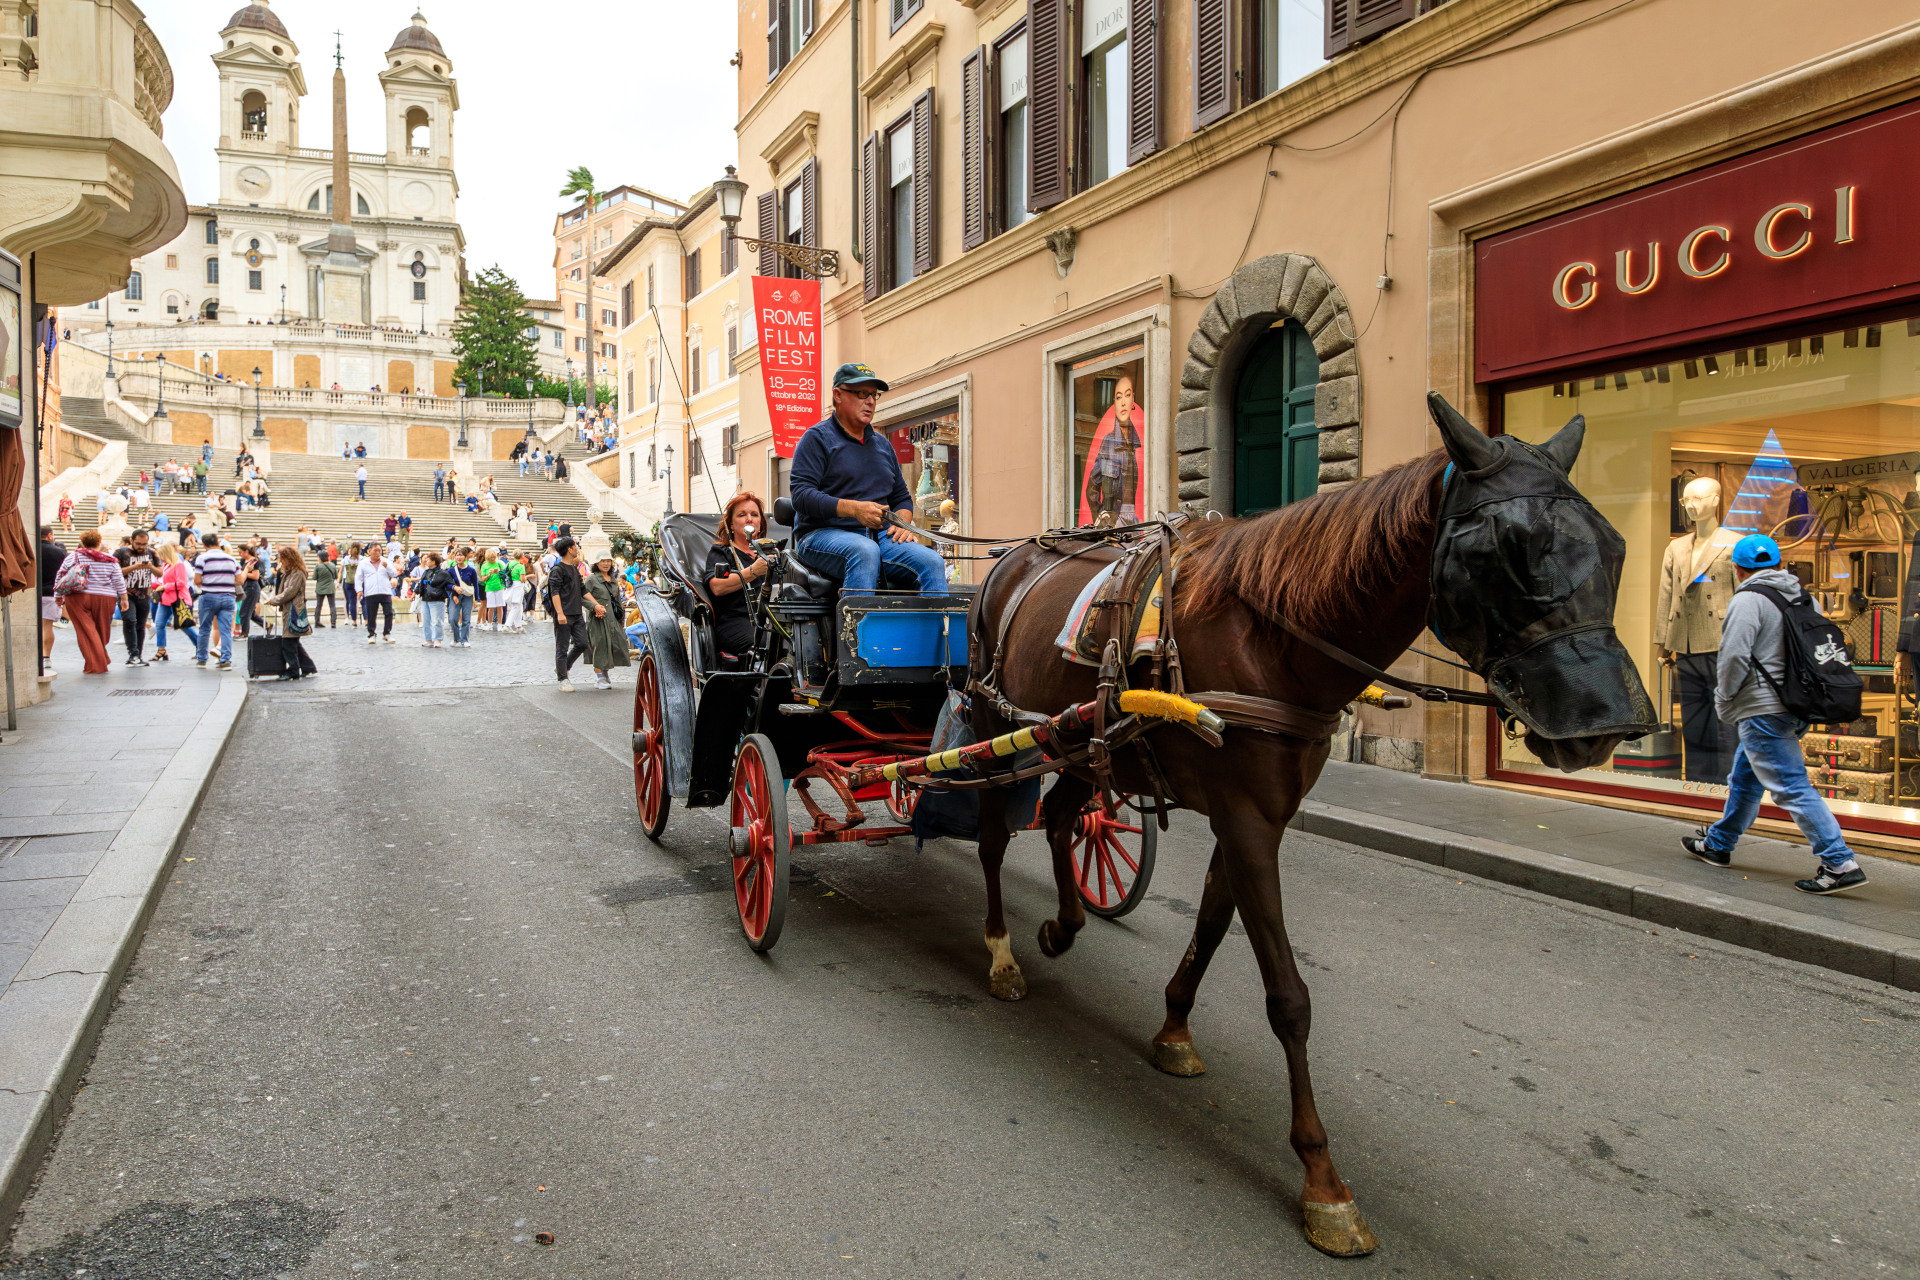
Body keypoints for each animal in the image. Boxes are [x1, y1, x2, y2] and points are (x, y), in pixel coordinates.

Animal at [967, 395, 1658, 1258]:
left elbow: (1210, 929)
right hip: (989, 716)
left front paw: (1175, 1030)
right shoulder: (1247, 820)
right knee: (993, 838)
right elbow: (1289, 998)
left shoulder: (1253, 817)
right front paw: (1324, 1183)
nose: (1612, 722)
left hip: (1083, 743)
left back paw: (1062, 927)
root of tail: (1012, 555)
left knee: (1063, 818)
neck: (1274, 638)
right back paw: (1001, 953)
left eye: (1615, 544)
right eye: (1508, 546)